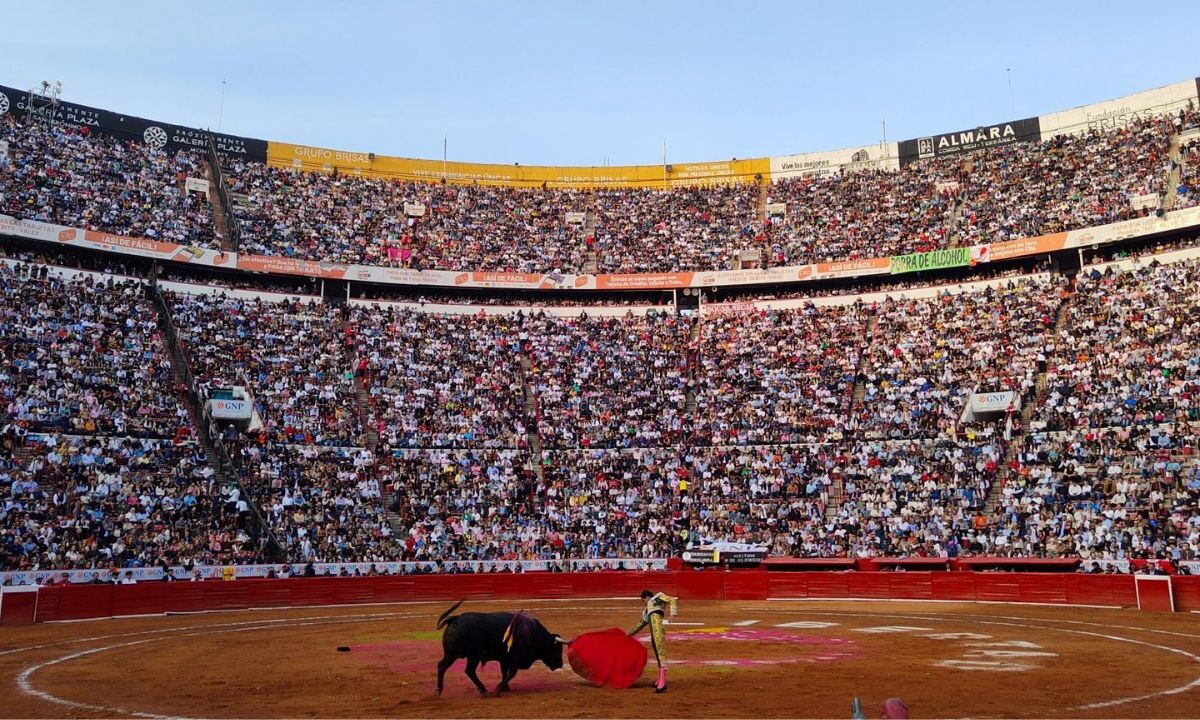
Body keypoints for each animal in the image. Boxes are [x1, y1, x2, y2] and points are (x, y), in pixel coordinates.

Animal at [434, 600, 564, 696]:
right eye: (557, 649)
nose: (560, 664)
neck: (532, 633)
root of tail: (454, 618)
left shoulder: (504, 659)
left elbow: (504, 672)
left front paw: (506, 688)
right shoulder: (514, 660)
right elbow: (511, 673)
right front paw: (498, 688)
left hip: (451, 654)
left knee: (442, 666)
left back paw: (438, 690)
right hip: (473, 656)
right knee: (469, 670)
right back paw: (484, 690)